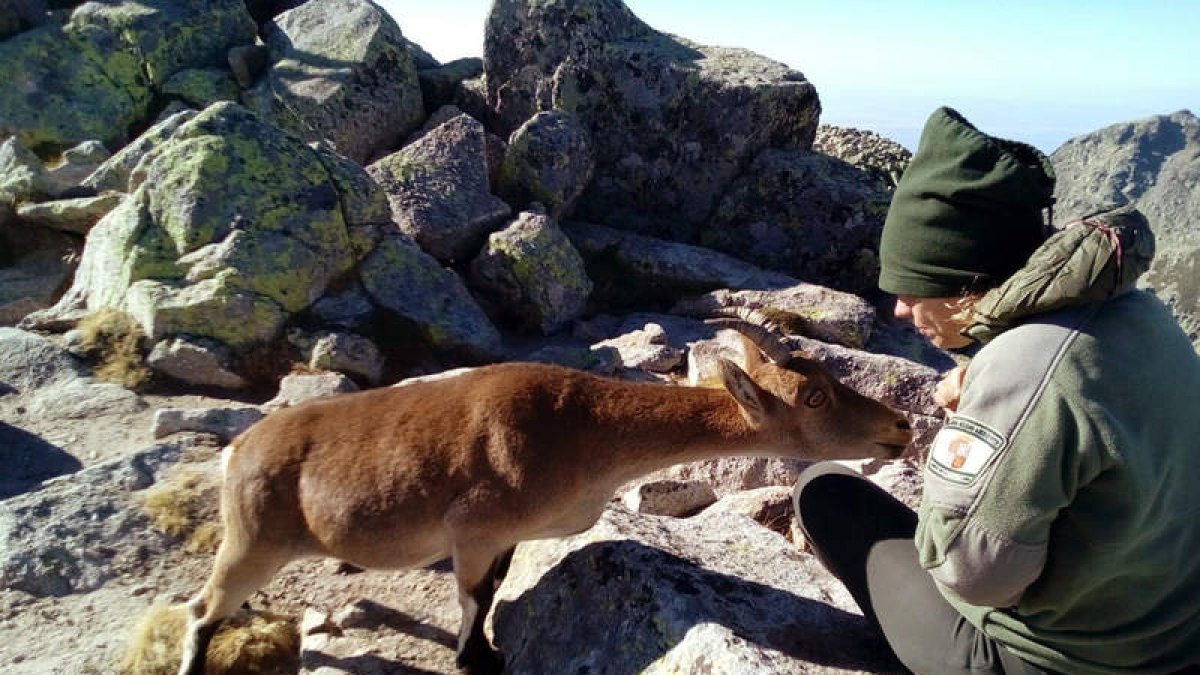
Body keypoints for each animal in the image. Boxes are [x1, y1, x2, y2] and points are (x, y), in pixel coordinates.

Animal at [177, 323, 912, 675]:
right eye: (813, 396)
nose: (901, 427)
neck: (583, 429)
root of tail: (236, 451)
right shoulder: (475, 528)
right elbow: (475, 597)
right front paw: (477, 660)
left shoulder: (505, 537)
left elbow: (494, 590)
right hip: (254, 538)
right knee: (200, 608)